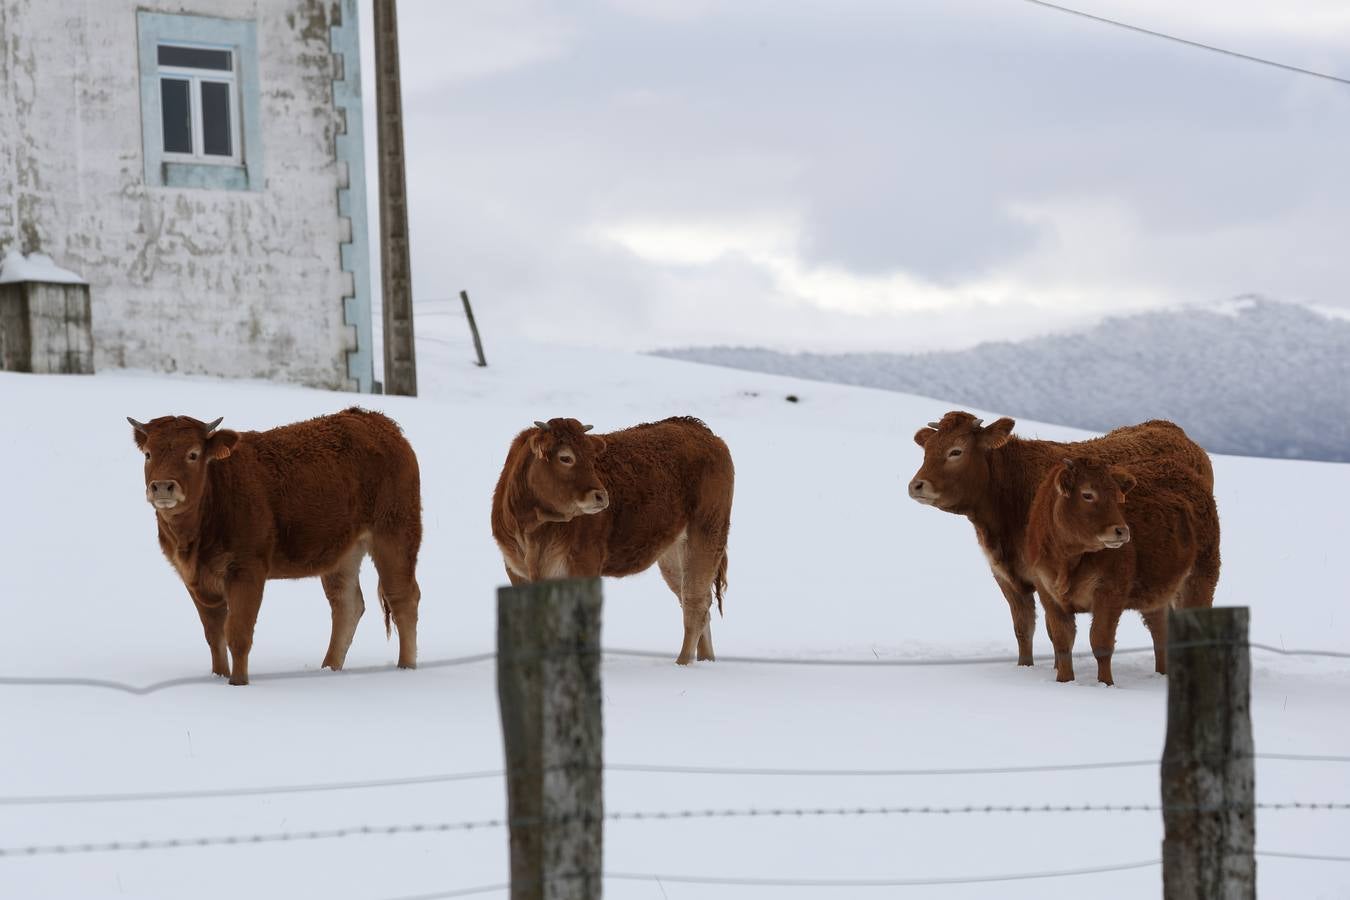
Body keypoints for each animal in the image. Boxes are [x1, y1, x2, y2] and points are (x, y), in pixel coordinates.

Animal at [129, 412, 421, 685]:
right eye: (148, 454)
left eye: (193, 454)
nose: (162, 486)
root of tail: (376, 420)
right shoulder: (194, 580)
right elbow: (214, 635)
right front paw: (219, 676)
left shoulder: (247, 569)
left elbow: (238, 633)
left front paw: (238, 683)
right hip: (344, 553)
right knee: (347, 604)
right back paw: (328, 669)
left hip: (395, 534)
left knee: (403, 597)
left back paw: (406, 668)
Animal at [491, 415, 734, 661]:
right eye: (565, 457)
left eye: (592, 458)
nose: (601, 496)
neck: (532, 528)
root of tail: (697, 427)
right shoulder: (516, 570)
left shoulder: (584, 564)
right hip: (673, 554)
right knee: (695, 601)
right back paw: (705, 660)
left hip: (706, 533)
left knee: (695, 605)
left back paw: (682, 663)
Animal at [907, 412, 1215, 666]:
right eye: (927, 451)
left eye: (955, 451)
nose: (916, 485)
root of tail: (1168, 427)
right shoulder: (1007, 577)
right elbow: (1024, 629)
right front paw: (1025, 667)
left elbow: (1054, 633)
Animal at [1020, 458, 1225, 682]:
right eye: (1087, 494)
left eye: (1118, 498)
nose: (1121, 531)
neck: (1067, 561)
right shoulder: (1048, 593)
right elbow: (1062, 642)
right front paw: (1064, 681)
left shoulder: (1111, 591)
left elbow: (1101, 642)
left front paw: (1106, 683)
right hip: (1158, 594)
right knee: (1160, 633)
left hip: (1200, 579)